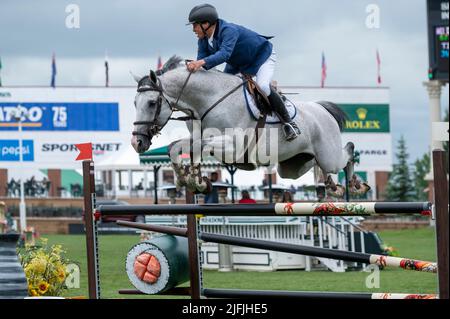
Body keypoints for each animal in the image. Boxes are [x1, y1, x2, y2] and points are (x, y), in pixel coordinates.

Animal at [130, 57, 370, 198]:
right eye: (134, 103)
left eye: (151, 103)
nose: (136, 142)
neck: (207, 101)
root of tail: (322, 109)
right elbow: (176, 147)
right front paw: (188, 179)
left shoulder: (234, 146)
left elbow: (199, 146)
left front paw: (194, 179)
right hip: (292, 167)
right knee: (315, 164)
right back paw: (333, 186)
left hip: (329, 155)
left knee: (347, 152)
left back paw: (355, 184)